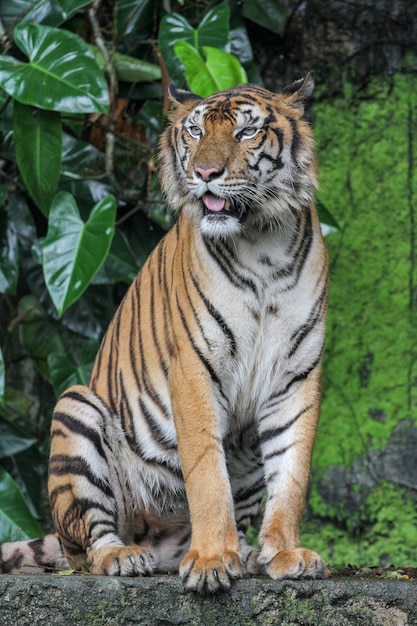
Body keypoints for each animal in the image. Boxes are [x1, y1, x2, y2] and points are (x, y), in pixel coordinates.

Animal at [1, 73, 330, 588]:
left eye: (246, 132)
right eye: (195, 132)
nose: (206, 173)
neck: (262, 244)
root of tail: (162, 545)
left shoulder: (297, 374)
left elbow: (291, 472)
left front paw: (284, 552)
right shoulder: (195, 366)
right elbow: (207, 473)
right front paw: (212, 559)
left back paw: (247, 555)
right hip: (76, 409)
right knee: (90, 544)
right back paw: (126, 556)